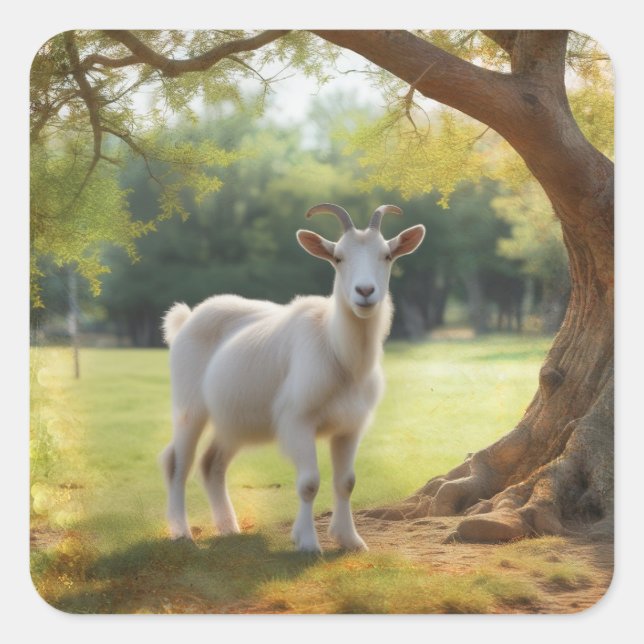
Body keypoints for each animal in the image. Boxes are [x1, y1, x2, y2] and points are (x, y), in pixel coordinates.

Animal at [160, 204, 425, 552]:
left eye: (387, 255)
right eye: (338, 257)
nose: (365, 292)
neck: (337, 350)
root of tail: (187, 319)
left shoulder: (350, 426)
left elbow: (346, 482)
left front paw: (350, 540)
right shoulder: (298, 420)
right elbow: (308, 483)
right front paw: (308, 543)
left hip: (233, 418)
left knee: (211, 463)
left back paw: (229, 528)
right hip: (189, 407)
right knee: (178, 462)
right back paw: (181, 533)